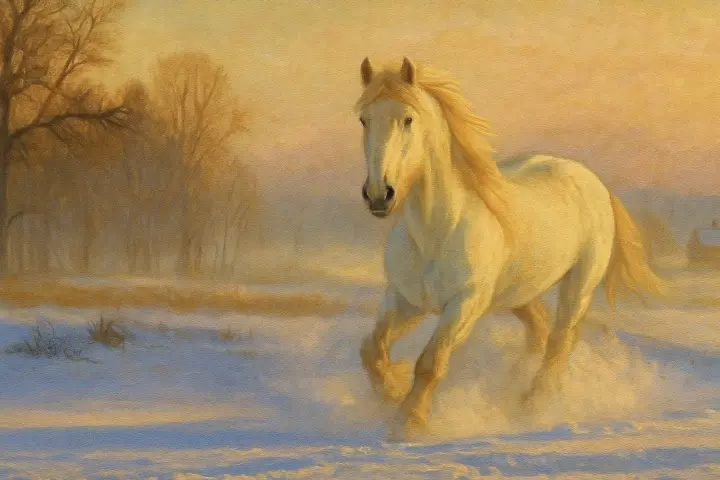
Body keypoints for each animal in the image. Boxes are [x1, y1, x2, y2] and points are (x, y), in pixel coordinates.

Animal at [355, 57, 666, 441]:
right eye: (364, 119)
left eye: (408, 119)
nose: (378, 195)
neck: (435, 232)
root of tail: (592, 180)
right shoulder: (406, 300)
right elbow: (372, 350)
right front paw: (393, 394)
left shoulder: (464, 305)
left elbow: (430, 363)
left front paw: (409, 423)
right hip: (521, 293)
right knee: (541, 332)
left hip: (578, 288)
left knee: (558, 342)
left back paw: (535, 406)